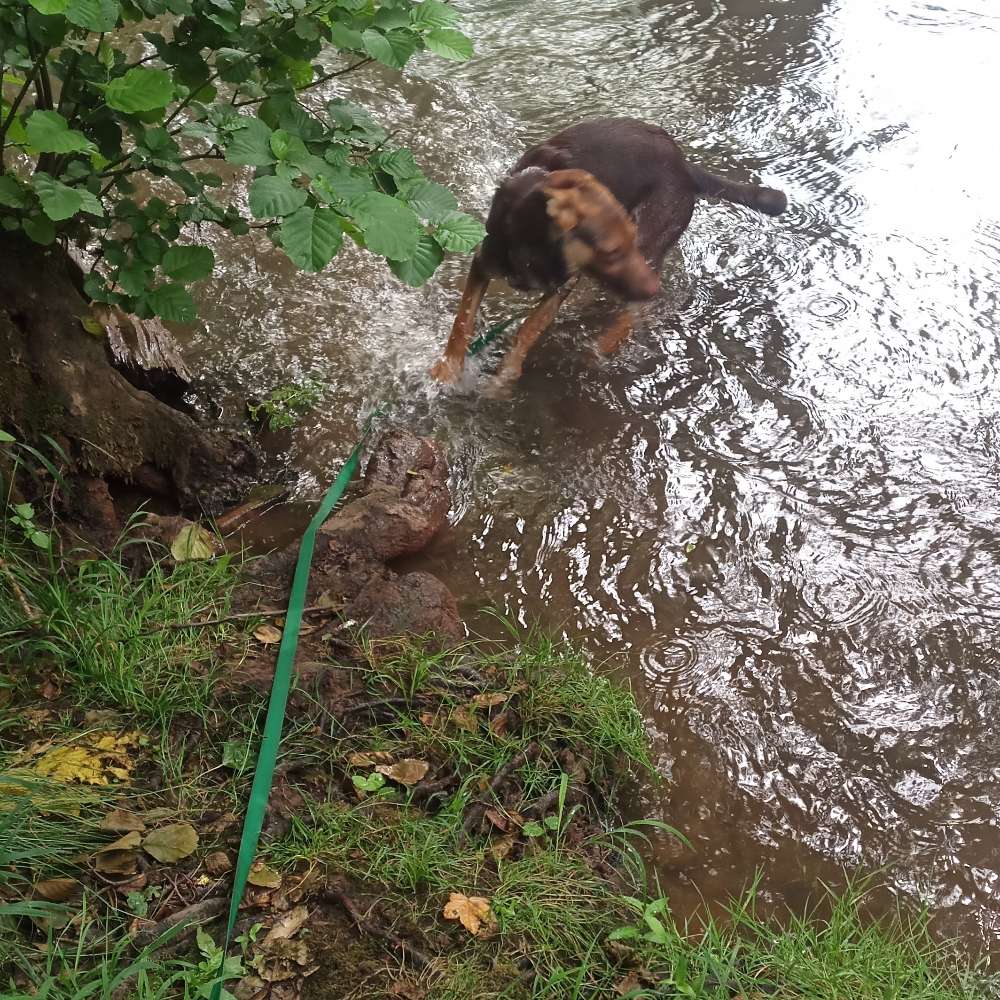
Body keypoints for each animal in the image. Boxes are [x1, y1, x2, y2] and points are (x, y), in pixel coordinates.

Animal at [430, 114, 788, 386]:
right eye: (612, 251)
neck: (534, 240)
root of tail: (686, 167)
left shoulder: (562, 284)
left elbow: (529, 327)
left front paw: (505, 376)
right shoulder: (484, 261)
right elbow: (462, 320)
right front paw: (447, 371)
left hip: (650, 246)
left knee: (632, 310)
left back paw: (601, 347)